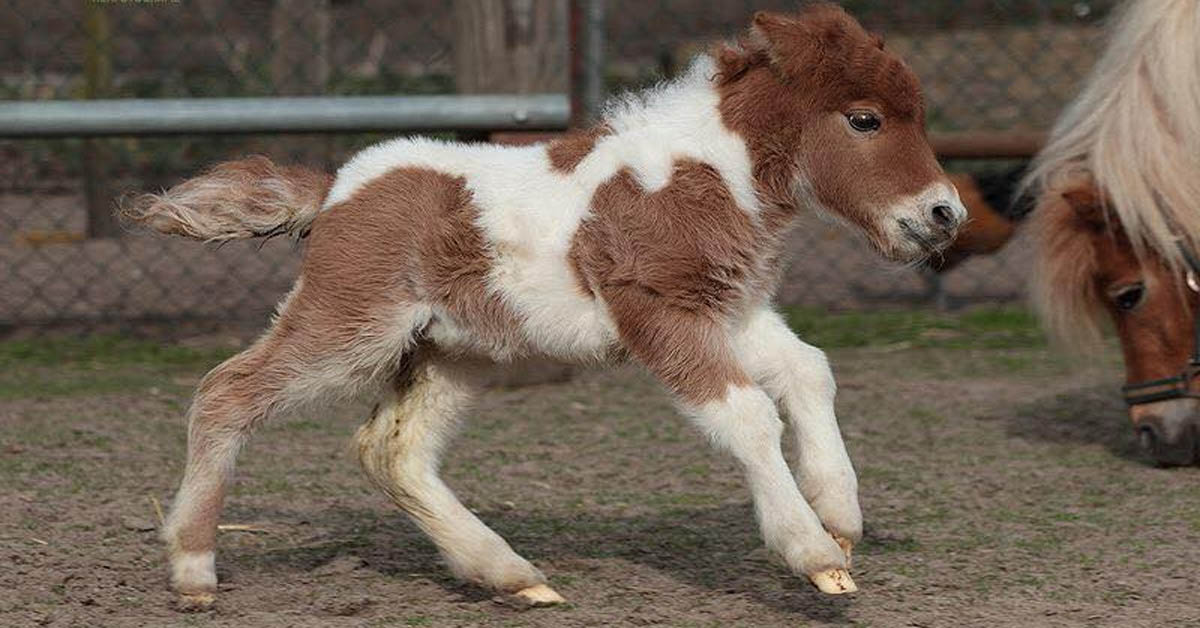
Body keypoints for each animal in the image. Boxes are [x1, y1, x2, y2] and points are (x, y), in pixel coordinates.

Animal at [124, 2, 964, 607]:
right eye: (864, 120)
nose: (944, 214)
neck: (699, 175)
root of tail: (335, 189)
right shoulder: (658, 310)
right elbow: (748, 413)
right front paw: (813, 554)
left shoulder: (730, 310)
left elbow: (809, 370)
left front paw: (841, 518)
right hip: (352, 326)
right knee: (226, 391)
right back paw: (194, 569)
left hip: (450, 352)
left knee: (392, 451)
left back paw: (511, 575)